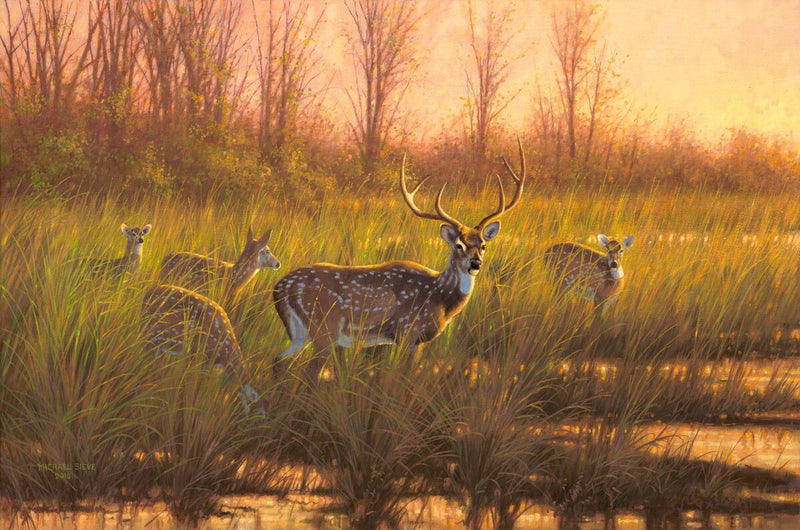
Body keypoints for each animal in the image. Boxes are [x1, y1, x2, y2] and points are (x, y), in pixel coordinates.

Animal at [272, 140, 526, 380]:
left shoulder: (417, 342)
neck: (440, 298)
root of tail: (279, 288)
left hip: (300, 333)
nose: (475, 264)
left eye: (483, 245)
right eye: (459, 245)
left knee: (277, 361)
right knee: (308, 372)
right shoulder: (407, 331)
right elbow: (400, 377)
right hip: (325, 329)